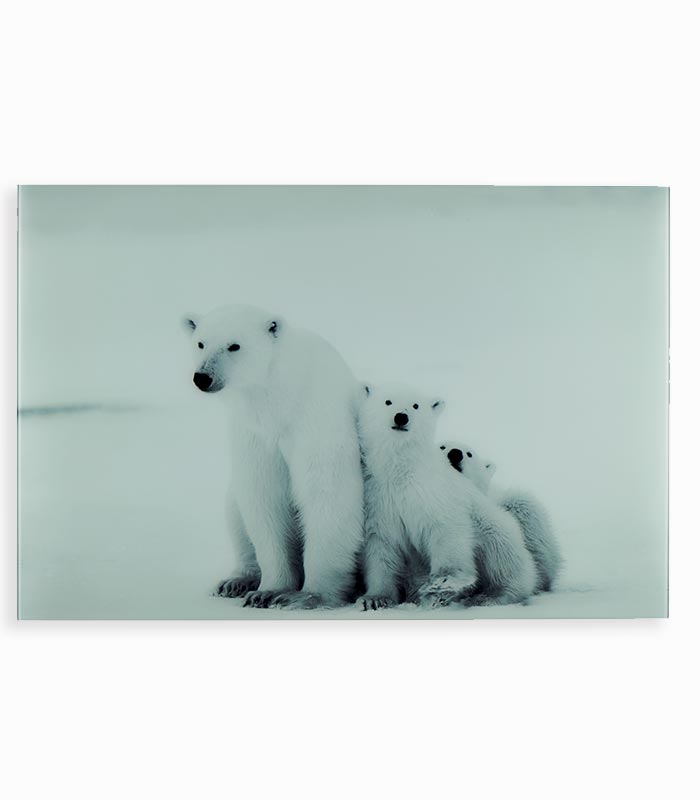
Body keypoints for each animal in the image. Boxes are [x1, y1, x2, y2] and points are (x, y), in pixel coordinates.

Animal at [183, 304, 365, 609]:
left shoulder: (316, 419)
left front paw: (307, 596)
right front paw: (267, 591)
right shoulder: (254, 434)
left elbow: (327, 494)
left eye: (234, 345)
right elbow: (264, 498)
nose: (203, 377)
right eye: (200, 343)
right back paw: (235, 581)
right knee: (234, 510)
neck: (278, 399)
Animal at [356, 383, 480, 610]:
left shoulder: (430, 491)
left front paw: (444, 580)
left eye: (416, 405)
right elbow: (381, 547)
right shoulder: (378, 499)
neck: (401, 472)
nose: (401, 417)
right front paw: (375, 599)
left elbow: (446, 528)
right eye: (388, 401)